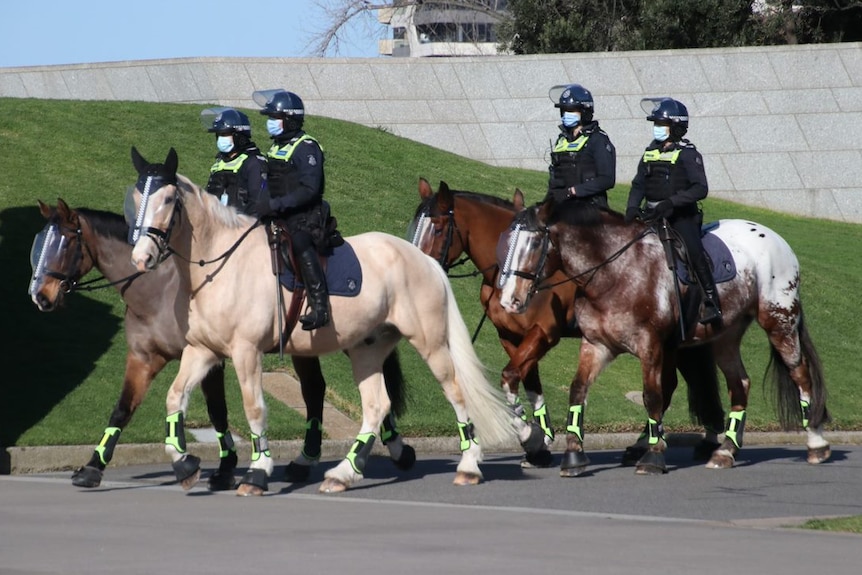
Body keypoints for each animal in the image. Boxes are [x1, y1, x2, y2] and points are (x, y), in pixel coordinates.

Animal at [25, 200, 406, 488]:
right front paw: (93, 466)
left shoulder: (211, 357)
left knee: (328, 391)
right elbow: (123, 408)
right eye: (39, 243)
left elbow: (217, 410)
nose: (40, 297)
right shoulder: (144, 357)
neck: (158, 291)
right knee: (323, 389)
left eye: (63, 244)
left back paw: (388, 449)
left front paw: (224, 467)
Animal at [412, 180, 728, 472]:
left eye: (437, 228)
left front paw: (530, 437)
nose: (417, 269)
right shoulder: (512, 337)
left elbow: (510, 375)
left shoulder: (542, 334)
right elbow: (529, 384)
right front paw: (539, 444)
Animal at [496, 199, 832, 476]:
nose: (510, 300)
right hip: (725, 336)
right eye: (506, 243)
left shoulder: (651, 346)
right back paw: (725, 451)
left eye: (534, 243)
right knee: (740, 384)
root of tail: (774, 236)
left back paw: (816, 443)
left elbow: (653, 396)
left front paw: (653, 456)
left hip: (780, 322)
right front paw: (573, 456)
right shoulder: (597, 345)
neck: (615, 273)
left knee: (800, 374)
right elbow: (578, 392)